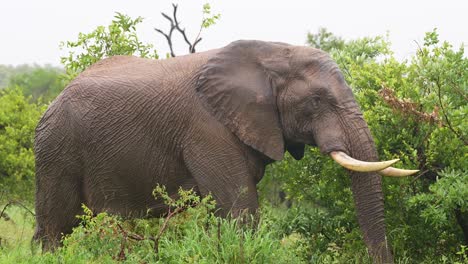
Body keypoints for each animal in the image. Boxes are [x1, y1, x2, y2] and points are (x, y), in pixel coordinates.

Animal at [33, 39, 416, 262]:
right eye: (317, 101)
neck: (269, 54)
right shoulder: (206, 129)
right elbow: (240, 210)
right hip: (57, 149)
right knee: (56, 227)